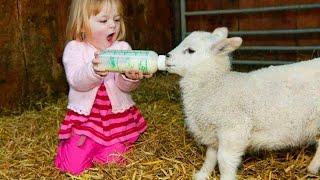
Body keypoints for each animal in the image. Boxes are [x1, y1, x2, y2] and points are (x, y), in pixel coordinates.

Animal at [166, 27, 320, 180]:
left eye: (191, 50)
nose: (167, 56)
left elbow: (224, 160)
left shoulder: (233, 129)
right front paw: (202, 174)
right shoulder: (213, 133)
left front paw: (226, 177)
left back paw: (312, 168)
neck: (215, 85)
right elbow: (210, 156)